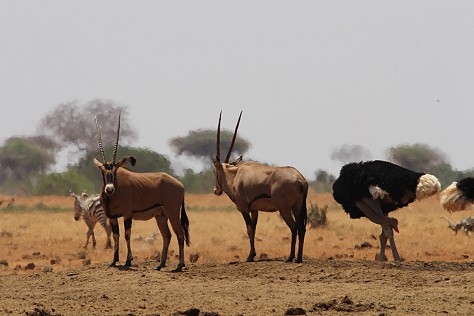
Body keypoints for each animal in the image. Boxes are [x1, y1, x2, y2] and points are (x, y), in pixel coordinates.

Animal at [93, 113, 190, 272]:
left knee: (180, 234)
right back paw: (160, 264)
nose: (109, 189)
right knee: (167, 235)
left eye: (115, 170)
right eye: (102, 170)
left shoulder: (127, 214)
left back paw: (179, 265)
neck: (114, 193)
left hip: (172, 212)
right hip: (161, 215)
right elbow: (116, 236)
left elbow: (127, 235)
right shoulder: (112, 216)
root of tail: (180, 184)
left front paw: (128, 260)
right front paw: (114, 261)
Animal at [211, 112, 308, 262]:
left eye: (214, 171)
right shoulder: (254, 210)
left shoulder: (244, 209)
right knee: (301, 228)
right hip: (297, 207)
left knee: (294, 227)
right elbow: (254, 229)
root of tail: (300, 179)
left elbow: (249, 230)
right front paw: (253, 254)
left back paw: (291, 257)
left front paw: (250, 256)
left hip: (285, 209)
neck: (235, 175)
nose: (216, 190)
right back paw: (298, 258)